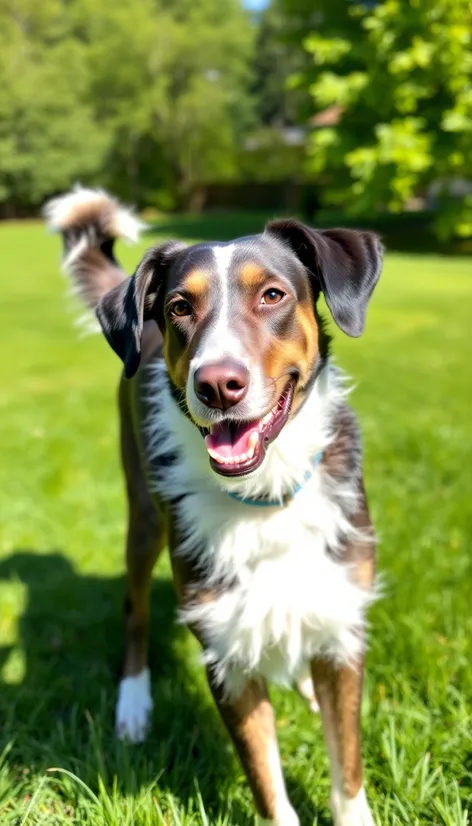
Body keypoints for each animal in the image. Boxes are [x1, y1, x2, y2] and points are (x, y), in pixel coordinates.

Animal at [46, 187, 382, 824]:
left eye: (273, 295)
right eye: (180, 306)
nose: (217, 384)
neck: (267, 494)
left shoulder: (343, 626)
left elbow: (348, 772)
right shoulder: (226, 659)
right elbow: (268, 785)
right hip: (143, 517)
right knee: (134, 612)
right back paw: (134, 704)